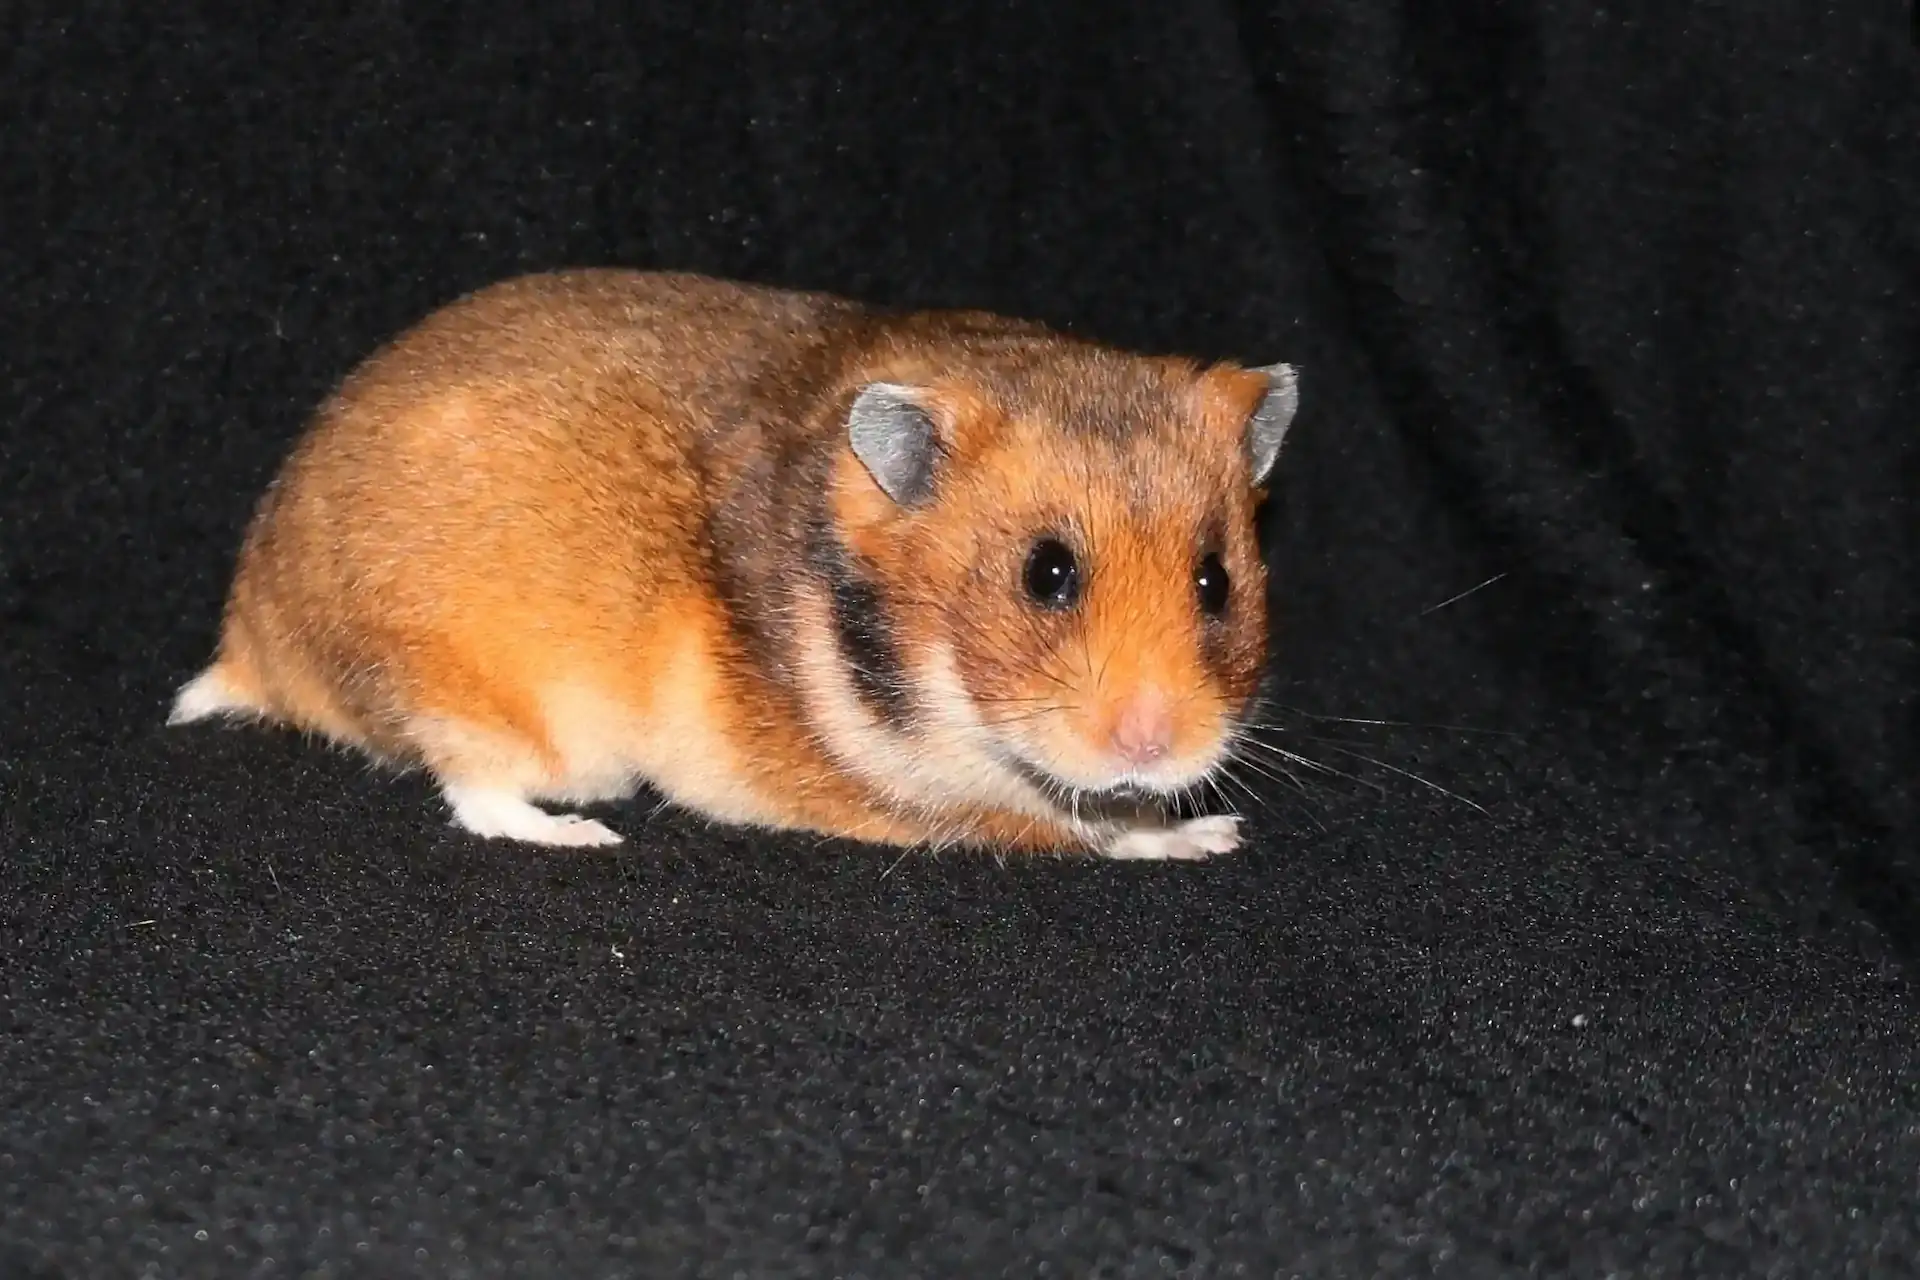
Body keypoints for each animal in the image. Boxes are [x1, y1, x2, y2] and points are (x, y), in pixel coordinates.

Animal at [169, 269, 1299, 861]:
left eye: (1216, 581)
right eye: (1047, 574)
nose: (1153, 744)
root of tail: (250, 635)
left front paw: (1198, 817)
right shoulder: (930, 801)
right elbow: (1088, 829)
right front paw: (1213, 833)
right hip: (486, 699)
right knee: (477, 796)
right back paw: (591, 834)